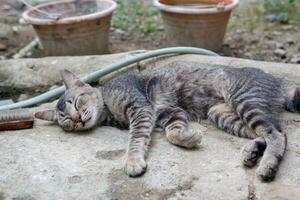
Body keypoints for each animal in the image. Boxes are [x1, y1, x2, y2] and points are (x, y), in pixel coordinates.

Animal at [34, 61, 298, 181]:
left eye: (77, 102)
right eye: (66, 122)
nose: (78, 119)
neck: (108, 108)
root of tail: (279, 81)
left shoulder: (141, 110)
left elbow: (135, 140)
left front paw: (132, 161)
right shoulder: (169, 113)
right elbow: (173, 133)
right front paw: (189, 138)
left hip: (243, 101)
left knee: (277, 133)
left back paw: (267, 165)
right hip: (222, 114)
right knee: (267, 133)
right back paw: (253, 152)